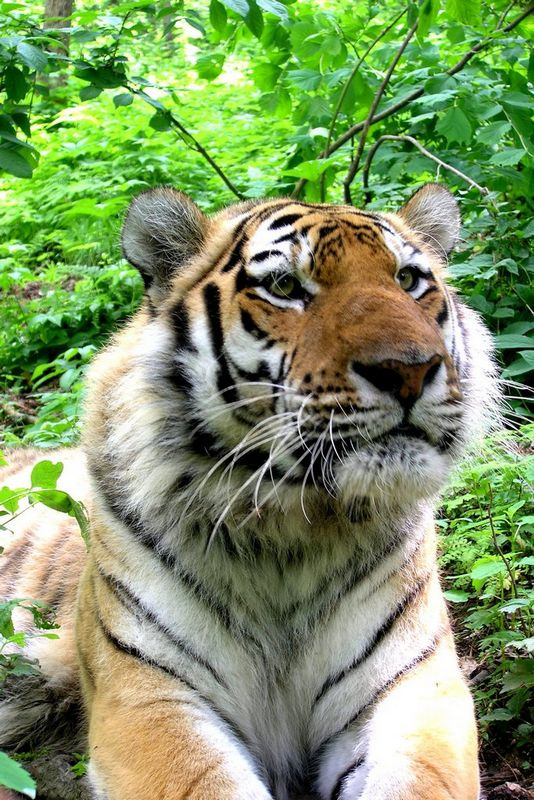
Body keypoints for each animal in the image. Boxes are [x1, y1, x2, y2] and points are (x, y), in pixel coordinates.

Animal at [0, 183, 497, 800]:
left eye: (407, 279)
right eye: (284, 287)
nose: (409, 369)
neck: (291, 528)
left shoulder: (416, 686)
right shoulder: (146, 698)